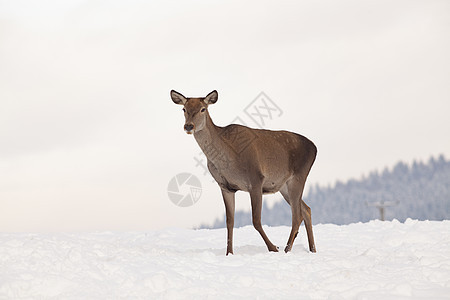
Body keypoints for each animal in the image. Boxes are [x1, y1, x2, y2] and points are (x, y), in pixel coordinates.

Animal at [171, 89, 316, 255]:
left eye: (203, 109)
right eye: (184, 109)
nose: (189, 126)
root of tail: (315, 148)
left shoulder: (256, 180)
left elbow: (256, 220)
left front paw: (273, 248)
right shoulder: (225, 186)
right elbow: (229, 221)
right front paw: (229, 253)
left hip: (298, 176)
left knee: (297, 215)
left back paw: (286, 249)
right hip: (283, 186)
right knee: (306, 209)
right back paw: (312, 249)